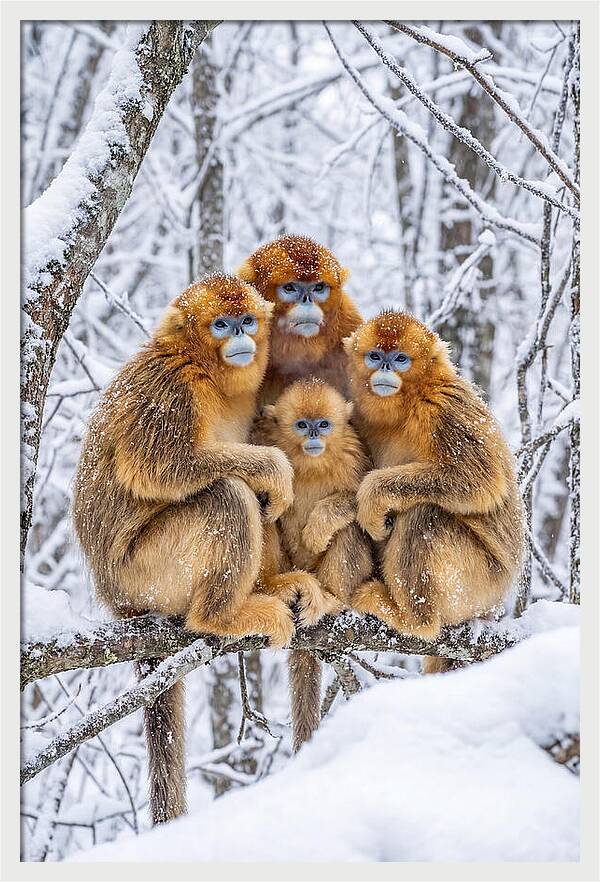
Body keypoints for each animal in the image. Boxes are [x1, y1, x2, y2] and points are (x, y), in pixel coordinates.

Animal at [72, 273, 299, 825]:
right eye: (222, 323)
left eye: (246, 320)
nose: (240, 336)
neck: (207, 373)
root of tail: (117, 600)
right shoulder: (169, 388)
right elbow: (161, 468)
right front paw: (273, 466)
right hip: (146, 572)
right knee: (227, 495)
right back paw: (221, 616)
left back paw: (269, 586)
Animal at [259, 379, 375, 750]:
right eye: (301, 425)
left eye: (323, 424)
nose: (313, 435)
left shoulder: (354, 454)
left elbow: (363, 503)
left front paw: (319, 527)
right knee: (263, 510)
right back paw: (275, 587)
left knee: (350, 528)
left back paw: (331, 599)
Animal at [342, 311, 525, 674]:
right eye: (375, 356)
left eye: (400, 359)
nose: (386, 368)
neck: (409, 403)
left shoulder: (443, 407)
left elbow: (481, 481)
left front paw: (373, 496)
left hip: (480, 584)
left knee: (425, 515)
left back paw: (413, 619)